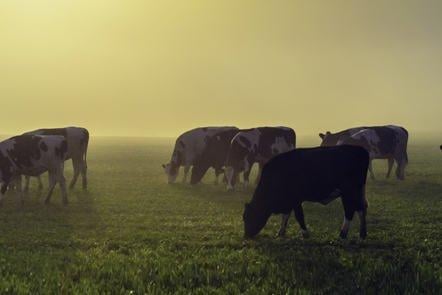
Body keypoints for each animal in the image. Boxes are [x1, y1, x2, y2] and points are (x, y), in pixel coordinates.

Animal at [242, 146, 370, 240]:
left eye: (248, 217)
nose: (246, 235)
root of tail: (360, 150)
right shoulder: (288, 201)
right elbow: (286, 216)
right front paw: (280, 232)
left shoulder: (295, 200)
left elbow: (299, 216)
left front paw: (305, 234)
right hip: (358, 191)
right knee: (361, 208)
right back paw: (362, 234)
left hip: (349, 192)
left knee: (350, 210)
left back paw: (343, 234)